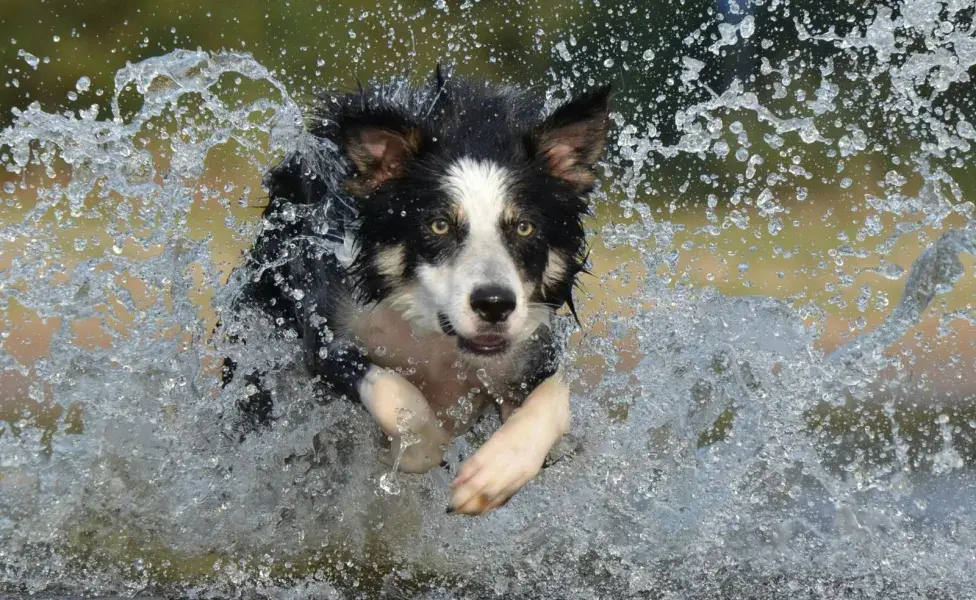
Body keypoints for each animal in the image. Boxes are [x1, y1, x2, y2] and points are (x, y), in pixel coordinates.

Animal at [223, 67, 608, 516]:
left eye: (525, 227)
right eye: (438, 225)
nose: (494, 304)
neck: (434, 336)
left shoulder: (530, 350)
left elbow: (554, 400)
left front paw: (494, 474)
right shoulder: (326, 331)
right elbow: (395, 392)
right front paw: (416, 448)